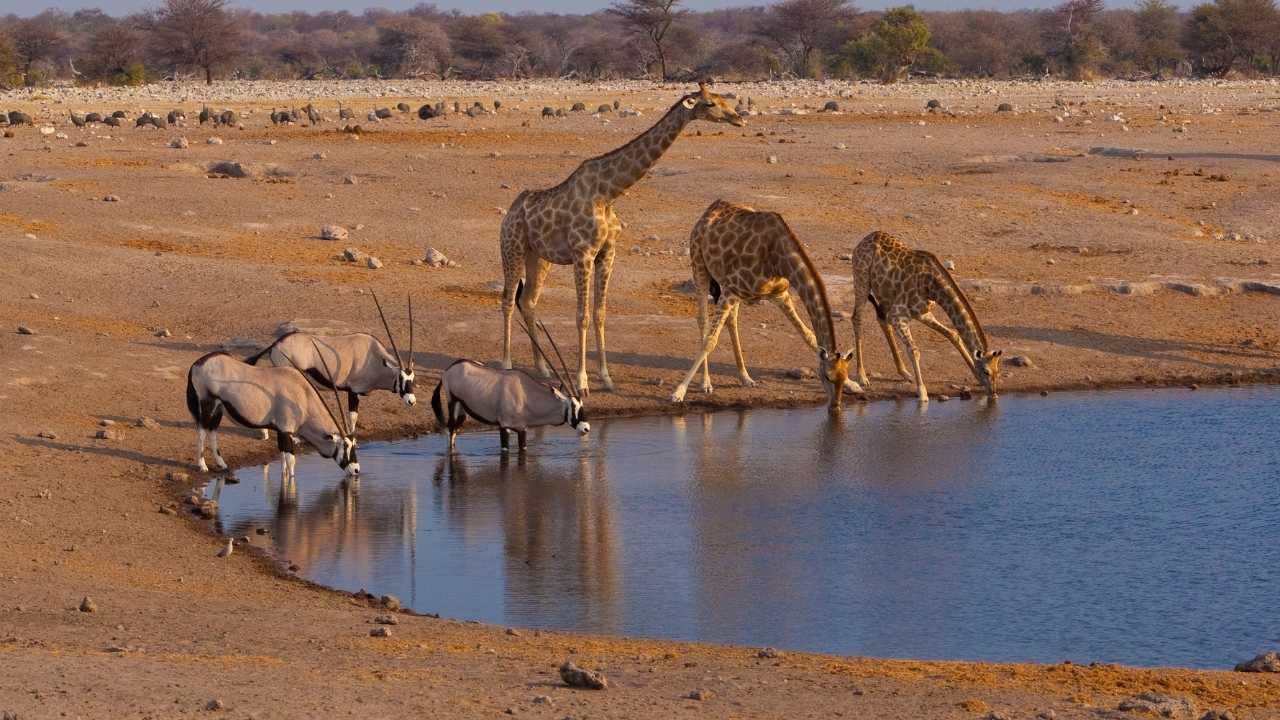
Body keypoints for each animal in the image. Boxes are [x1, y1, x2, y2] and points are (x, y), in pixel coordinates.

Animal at [500, 83, 745, 396]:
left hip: (539, 257)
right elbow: (582, 315)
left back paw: (542, 368)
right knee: (508, 300)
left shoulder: (607, 253)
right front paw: (582, 382)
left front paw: (606, 378)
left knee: (528, 301)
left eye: (724, 98)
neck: (608, 192)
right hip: (513, 248)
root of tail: (509, 212)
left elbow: (600, 313)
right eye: (710, 103)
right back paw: (507, 364)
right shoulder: (583, 253)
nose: (738, 118)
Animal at [670, 200, 859, 412]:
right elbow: (710, 341)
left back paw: (745, 377)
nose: (835, 407)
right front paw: (679, 392)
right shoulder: (730, 290)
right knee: (703, 320)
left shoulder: (779, 294)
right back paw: (706, 383)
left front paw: (854, 384)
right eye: (827, 377)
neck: (778, 259)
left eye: (843, 377)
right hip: (700, 266)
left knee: (732, 320)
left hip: (731, 291)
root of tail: (709, 210)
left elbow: (809, 335)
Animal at [849, 230, 1003, 402]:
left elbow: (953, 334)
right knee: (857, 318)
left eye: (998, 371)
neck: (933, 286)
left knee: (882, 319)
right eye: (986, 371)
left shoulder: (923, 313)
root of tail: (863, 241)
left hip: (885, 294)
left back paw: (904, 372)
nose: (994, 393)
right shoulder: (899, 315)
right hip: (862, 281)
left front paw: (975, 376)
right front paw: (922, 393)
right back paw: (862, 377)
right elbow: (914, 350)